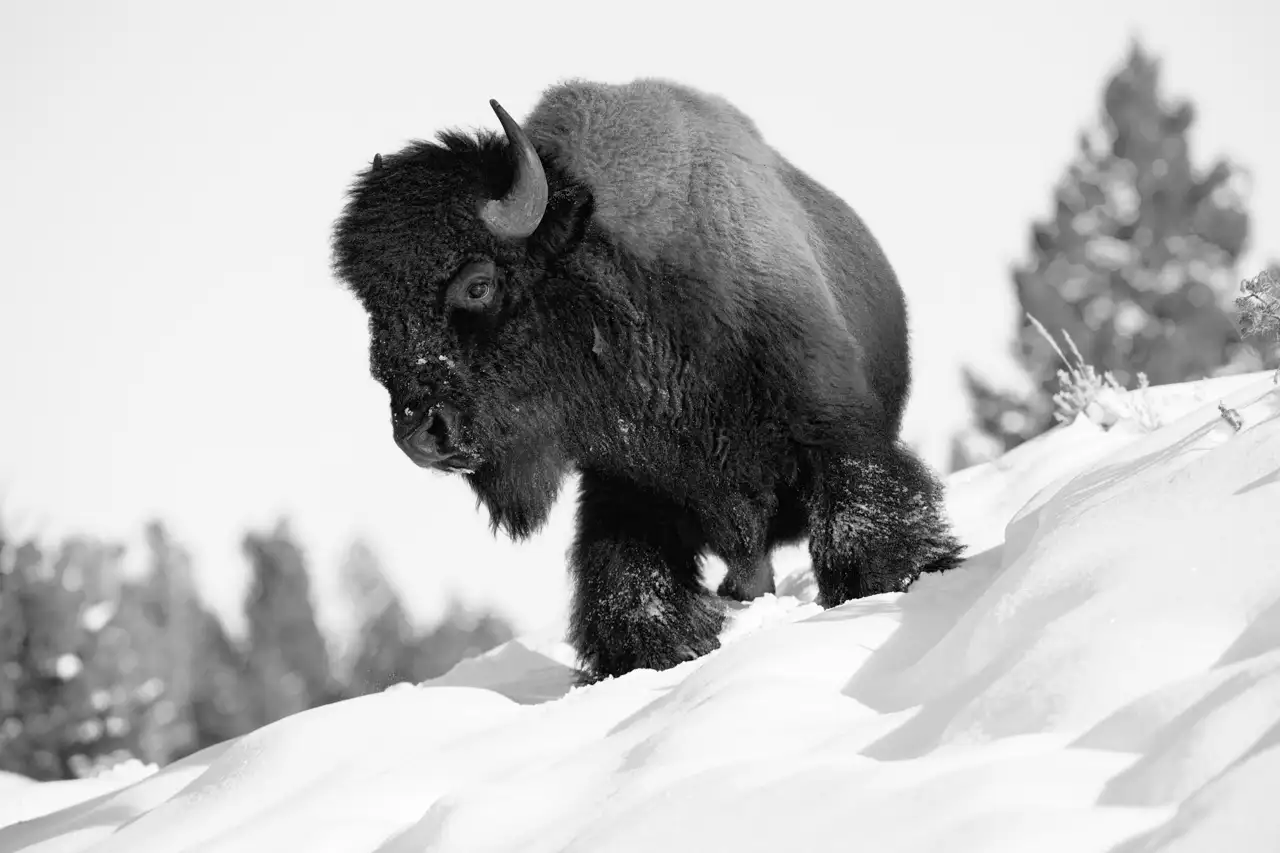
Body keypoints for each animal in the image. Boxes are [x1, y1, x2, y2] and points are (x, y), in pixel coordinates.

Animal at [331, 79, 964, 681]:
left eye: (478, 284)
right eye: (374, 308)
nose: (419, 433)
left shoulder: (824, 422)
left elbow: (858, 513)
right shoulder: (627, 484)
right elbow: (630, 582)